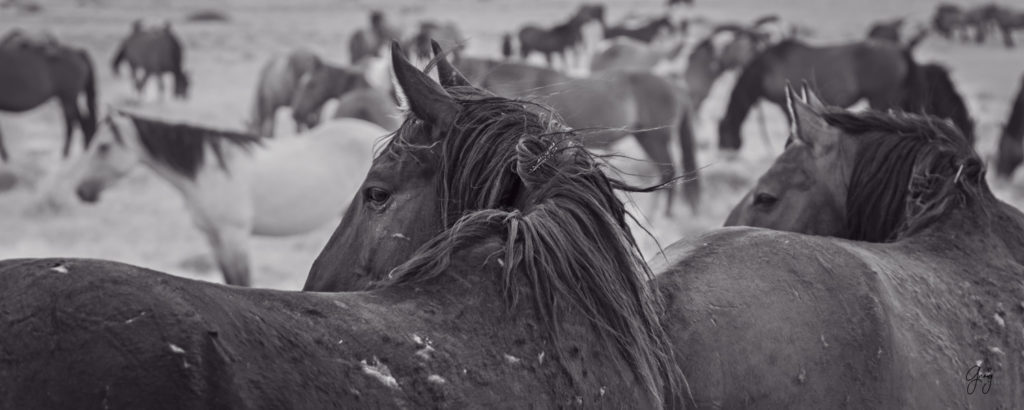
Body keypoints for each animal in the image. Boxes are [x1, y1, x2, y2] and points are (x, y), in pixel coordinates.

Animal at [70, 110, 385, 287]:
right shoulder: (214, 236)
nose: (82, 191)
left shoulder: (233, 235)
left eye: (103, 146)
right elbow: (229, 280)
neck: (209, 170)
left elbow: (241, 282)